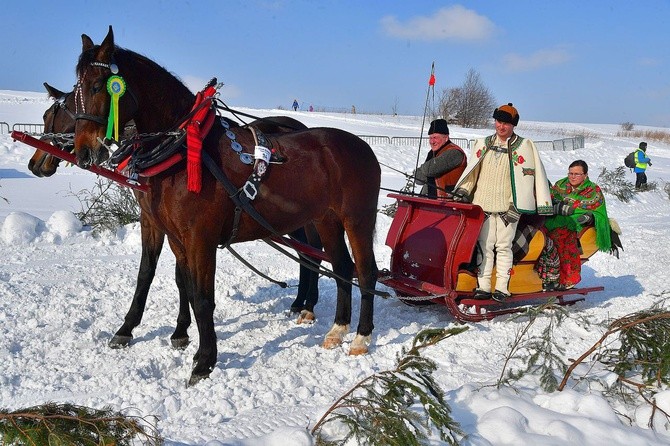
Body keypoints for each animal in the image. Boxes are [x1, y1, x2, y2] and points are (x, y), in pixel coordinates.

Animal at [72, 26, 384, 386]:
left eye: (99, 85)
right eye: (74, 90)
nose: (84, 150)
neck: (184, 151)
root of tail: (362, 147)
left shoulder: (200, 239)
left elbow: (203, 299)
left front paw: (204, 361)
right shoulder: (176, 237)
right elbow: (181, 286)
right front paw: (181, 340)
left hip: (356, 219)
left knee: (365, 271)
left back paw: (361, 336)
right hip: (325, 220)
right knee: (341, 267)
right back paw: (337, 330)